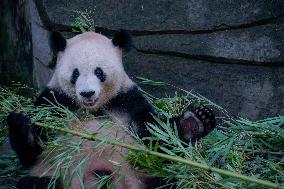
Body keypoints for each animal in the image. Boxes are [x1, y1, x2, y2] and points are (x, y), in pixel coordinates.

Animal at [7, 30, 215, 188]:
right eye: (75, 73)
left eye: (99, 72)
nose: (87, 93)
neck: (94, 108)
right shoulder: (54, 101)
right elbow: (32, 153)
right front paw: (20, 124)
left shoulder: (128, 101)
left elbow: (156, 137)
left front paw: (195, 121)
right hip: (58, 177)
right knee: (35, 183)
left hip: (142, 176)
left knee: (170, 182)